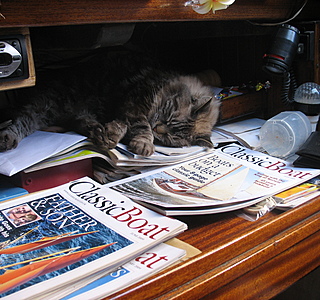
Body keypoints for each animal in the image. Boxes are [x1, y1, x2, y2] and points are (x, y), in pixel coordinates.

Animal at [0, 50, 220, 156]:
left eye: (170, 138)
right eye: (169, 115)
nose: (158, 128)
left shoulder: (126, 109)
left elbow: (121, 126)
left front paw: (112, 134)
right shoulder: (135, 104)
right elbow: (141, 127)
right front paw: (143, 144)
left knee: (80, 122)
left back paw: (98, 132)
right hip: (47, 106)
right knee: (21, 121)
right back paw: (7, 139)